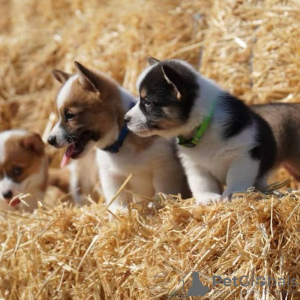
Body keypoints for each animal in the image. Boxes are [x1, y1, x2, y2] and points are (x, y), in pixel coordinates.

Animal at [47, 62, 189, 214]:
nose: (49, 140)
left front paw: (156, 206)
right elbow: (117, 203)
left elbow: (161, 193)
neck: (122, 140)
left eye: (70, 115)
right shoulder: (111, 177)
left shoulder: (165, 169)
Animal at [125, 57, 300, 205]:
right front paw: (208, 199)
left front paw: (233, 194)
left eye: (147, 102)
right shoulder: (195, 165)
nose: (125, 119)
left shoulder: (244, 153)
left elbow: (237, 177)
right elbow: (202, 183)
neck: (203, 126)